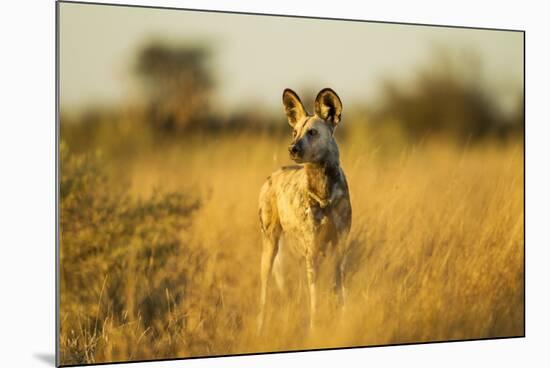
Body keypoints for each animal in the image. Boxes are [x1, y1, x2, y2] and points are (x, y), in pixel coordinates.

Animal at [260, 88, 354, 330]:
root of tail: (272, 176)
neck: (324, 192)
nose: (292, 148)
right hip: (271, 247)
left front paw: (343, 318)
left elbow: (339, 287)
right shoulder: (313, 248)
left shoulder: (339, 245)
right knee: (264, 290)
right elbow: (315, 298)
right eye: (294, 132)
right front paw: (314, 327)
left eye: (312, 132)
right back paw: (260, 327)